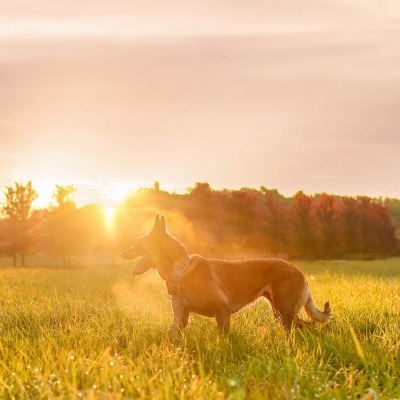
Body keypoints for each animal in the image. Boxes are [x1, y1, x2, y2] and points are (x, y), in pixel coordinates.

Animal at [120, 214, 332, 336]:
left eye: (139, 242)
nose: (122, 253)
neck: (181, 269)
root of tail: (300, 272)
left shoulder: (222, 312)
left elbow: (223, 341)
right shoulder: (180, 318)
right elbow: (170, 336)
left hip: (284, 312)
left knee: (305, 328)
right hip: (281, 312)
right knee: (308, 326)